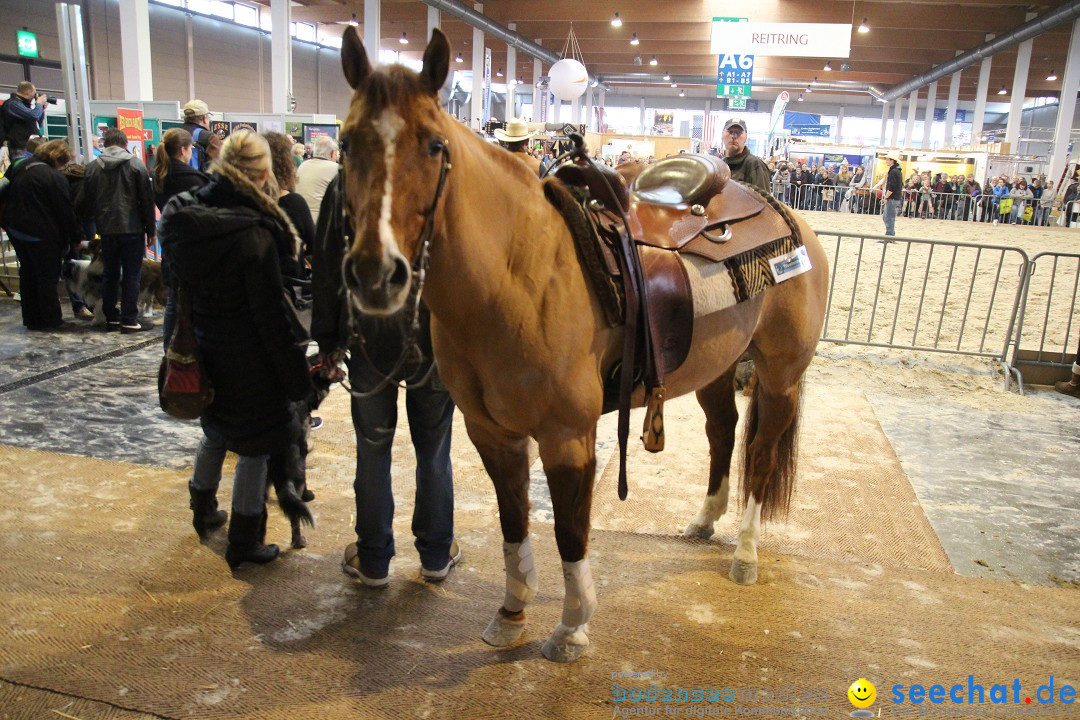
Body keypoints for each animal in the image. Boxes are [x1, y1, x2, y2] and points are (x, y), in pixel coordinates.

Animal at [334, 31, 825, 669]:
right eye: (345, 141)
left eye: (435, 145)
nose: (376, 273)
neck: (518, 274)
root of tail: (781, 208)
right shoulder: (491, 434)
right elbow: (513, 523)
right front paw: (511, 614)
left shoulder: (567, 437)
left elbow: (569, 531)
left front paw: (570, 630)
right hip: (716, 366)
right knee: (723, 432)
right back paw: (703, 521)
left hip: (780, 374)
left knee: (761, 455)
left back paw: (745, 553)